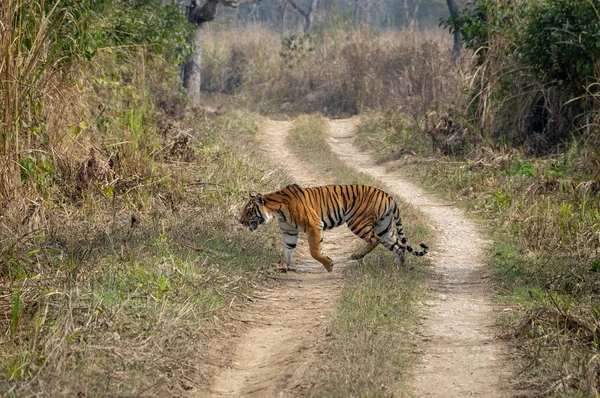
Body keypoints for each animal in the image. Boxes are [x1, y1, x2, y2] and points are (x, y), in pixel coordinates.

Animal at [237, 184, 428, 272]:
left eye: (249, 210)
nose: (240, 221)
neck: (277, 210)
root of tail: (389, 196)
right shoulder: (289, 232)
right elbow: (287, 250)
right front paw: (283, 266)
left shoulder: (314, 225)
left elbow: (314, 251)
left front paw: (329, 265)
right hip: (384, 227)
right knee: (399, 246)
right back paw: (399, 268)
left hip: (357, 222)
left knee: (375, 239)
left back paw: (356, 255)